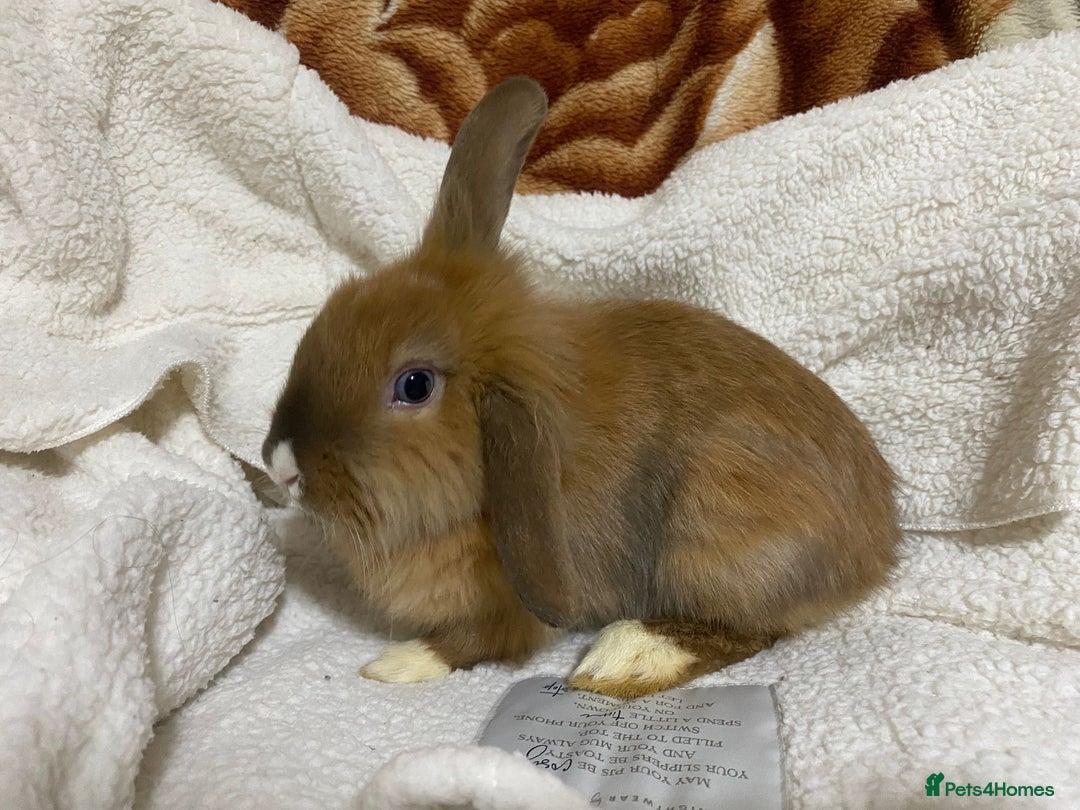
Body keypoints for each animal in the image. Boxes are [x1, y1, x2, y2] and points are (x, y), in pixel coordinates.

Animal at [262, 76, 901, 699]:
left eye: (414, 385)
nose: (281, 464)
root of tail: (877, 549)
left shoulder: (507, 611)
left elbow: (468, 642)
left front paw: (394, 664)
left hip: (713, 532)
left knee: (746, 631)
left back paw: (621, 660)